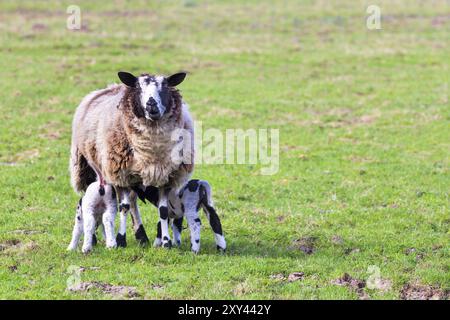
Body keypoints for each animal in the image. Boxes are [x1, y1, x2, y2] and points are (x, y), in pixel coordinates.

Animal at [70, 71, 193, 249]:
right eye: (138, 87)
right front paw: (121, 240)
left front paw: (166, 242)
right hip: (87, 169)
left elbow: (163, 211)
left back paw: (141, 236)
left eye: (165, 86)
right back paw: (92, 239)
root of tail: (111, 86)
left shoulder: (167, 178)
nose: (151, 104)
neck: (151, 151)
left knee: (134, 202)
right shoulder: (119, 176)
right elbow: (124, 208)